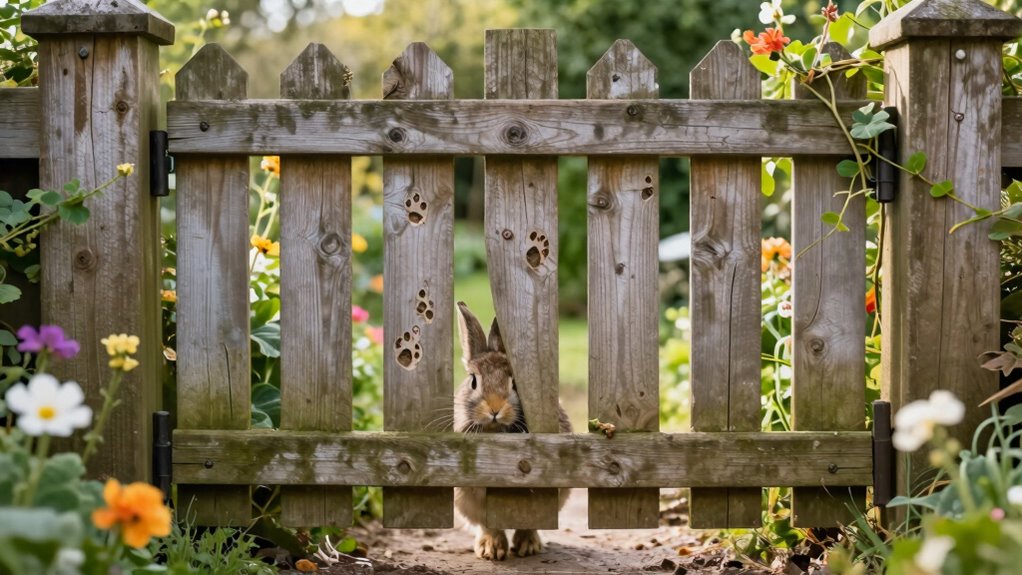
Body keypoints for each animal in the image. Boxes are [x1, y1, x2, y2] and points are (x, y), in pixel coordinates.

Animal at [453, 301, 572, 561]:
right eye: (473, 381)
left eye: (514, 383)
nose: (495, 408)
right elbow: (489, 523)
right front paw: (491, 550)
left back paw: (528, 545)